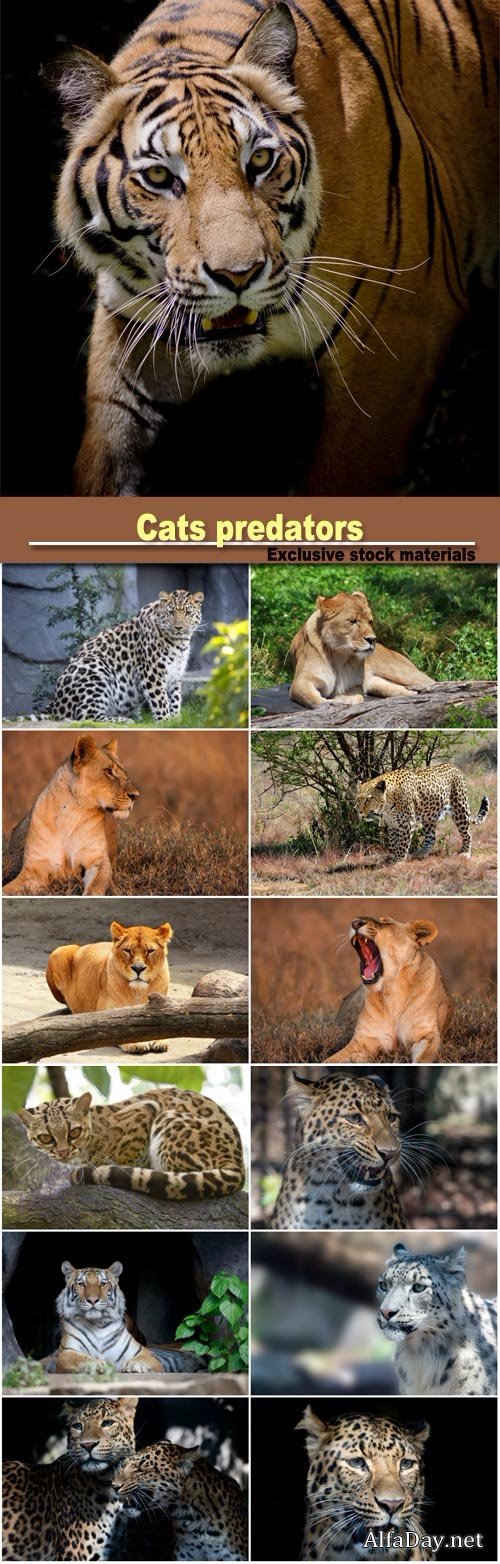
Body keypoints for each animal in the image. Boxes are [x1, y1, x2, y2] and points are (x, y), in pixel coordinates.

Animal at [3, 736, 139, 896]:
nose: (135, 795)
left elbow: (96, 885)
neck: (70, 812)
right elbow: (7, 889)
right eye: (108, 771)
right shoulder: (35, 869)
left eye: (125, 772)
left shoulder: (97, 858)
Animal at [289, 591, 434, 709]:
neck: (339, 655)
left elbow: (358, 698)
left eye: (370, 622)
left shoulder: (355, 685)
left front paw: (342, 699)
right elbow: (316, 700)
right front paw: (333, 702)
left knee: (431, 682)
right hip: (378, 684)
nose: (372, 639)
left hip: (402, 673)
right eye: (353, 621)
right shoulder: (302, 681)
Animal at [325, 914, 453, 1064]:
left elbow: (422, 1059)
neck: (391, 989)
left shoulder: (426, 1035)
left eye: (385, 922)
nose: (355, 923)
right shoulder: (362, 1042)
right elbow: (329, 1060)